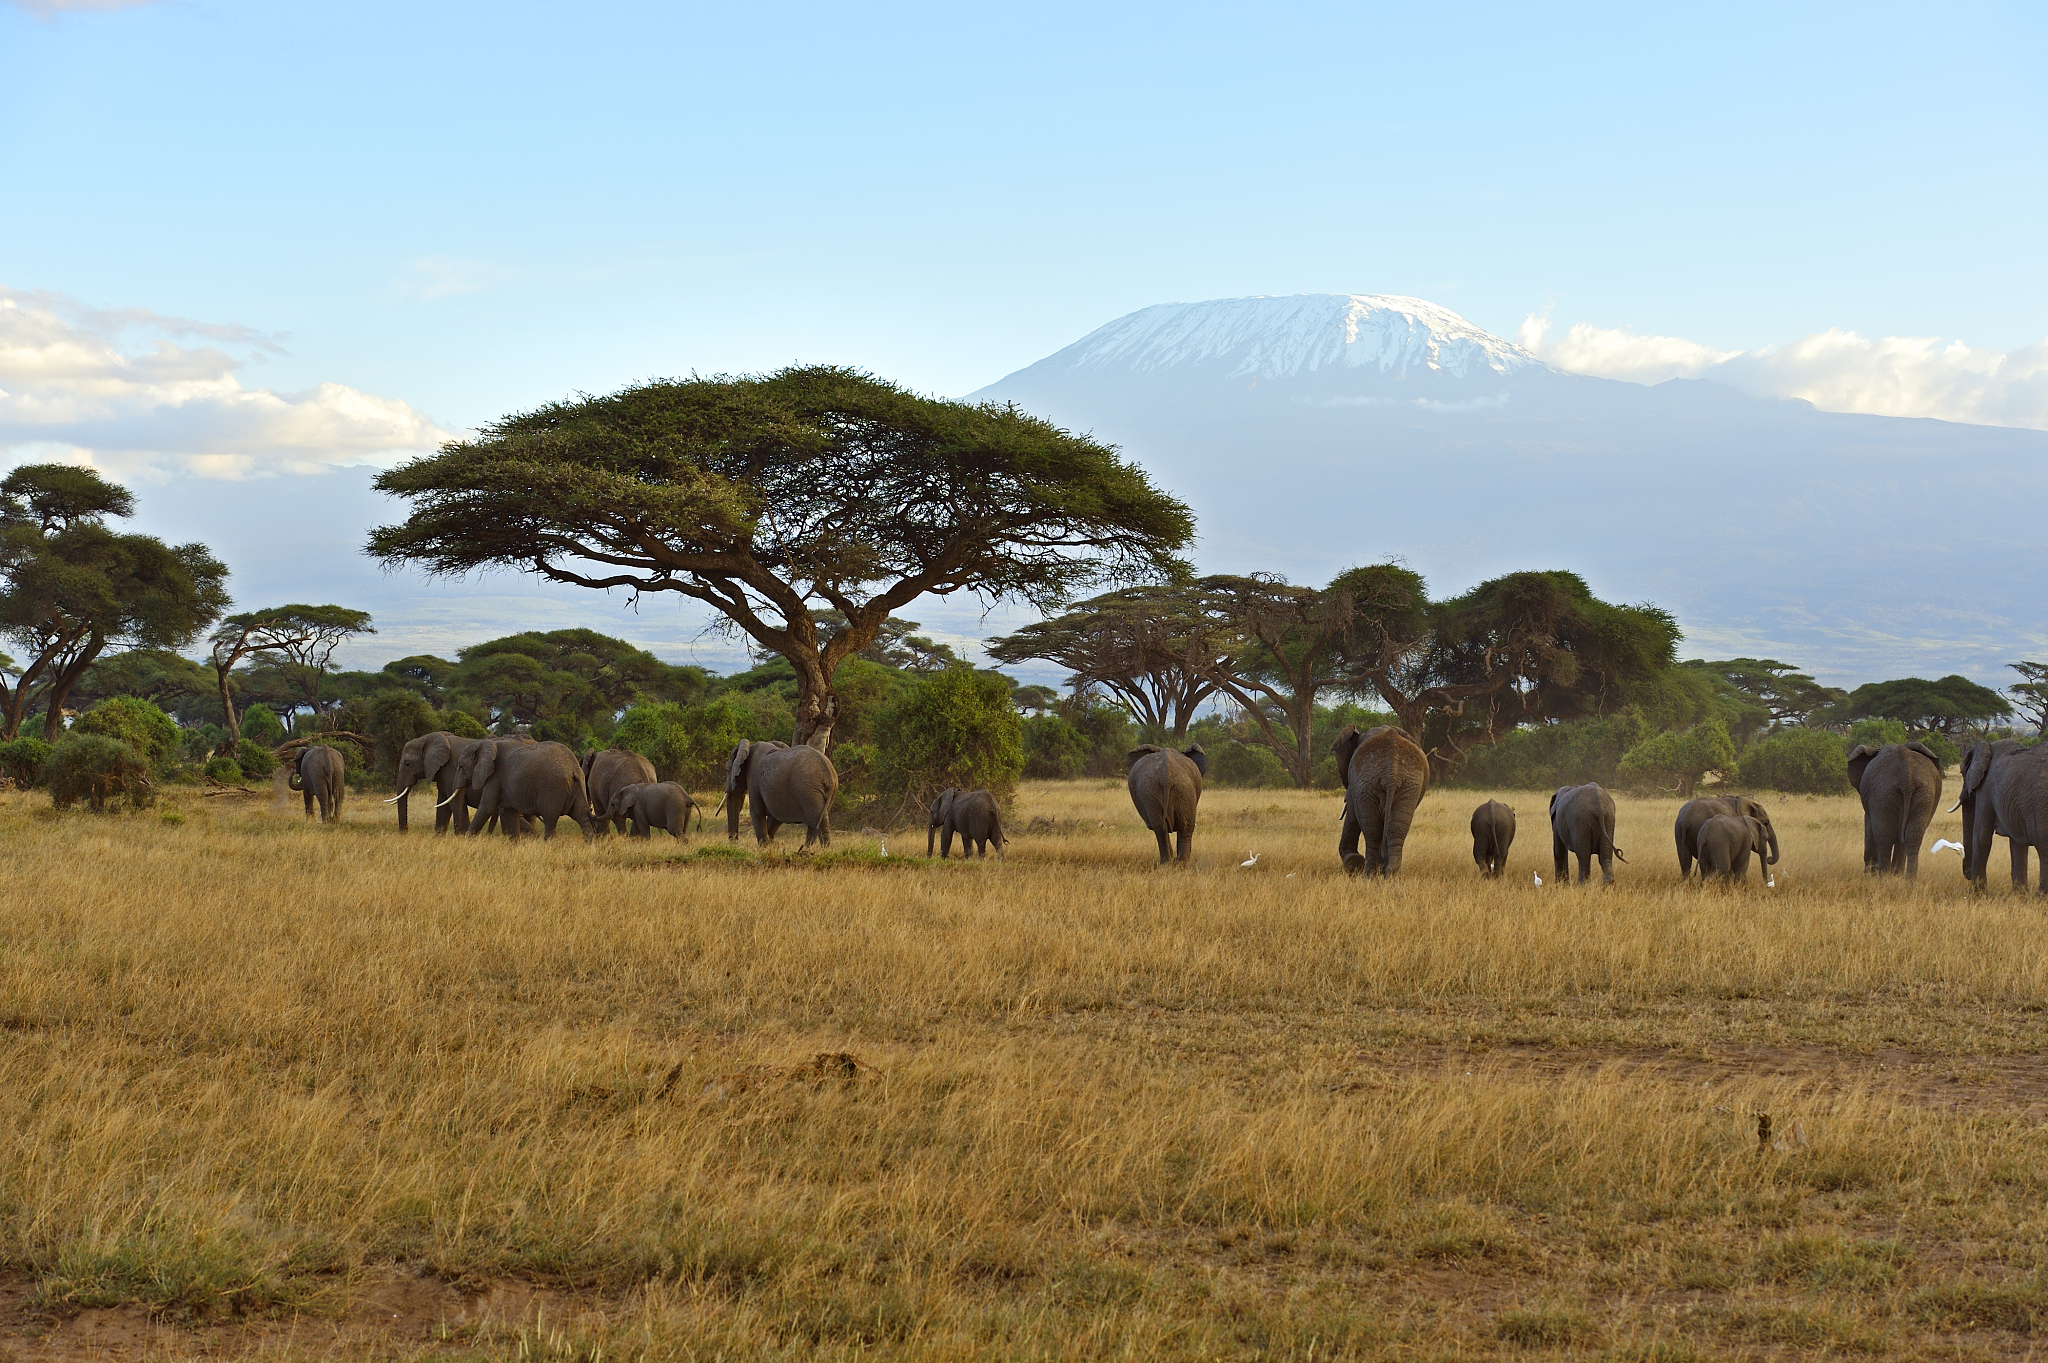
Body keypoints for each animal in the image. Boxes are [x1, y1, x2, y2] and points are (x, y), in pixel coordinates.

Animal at [448, 738, 594, 841]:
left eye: (460, 766)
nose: (458, 836)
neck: (484, 743)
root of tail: (574, 767)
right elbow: (510, 811)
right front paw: (514, 844)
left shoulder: (495, 777)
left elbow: (486, 808)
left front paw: (467, 841)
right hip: (576, 787)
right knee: (582, 816)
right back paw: (590, 845)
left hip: (553, 788)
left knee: (550, 819)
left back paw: (548, 845)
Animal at [1333, 725, 1428, 876]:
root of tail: (1391, 773)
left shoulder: (1355, 786)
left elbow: (1352, 815)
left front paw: (1353, 862)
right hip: (1410, 784)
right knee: (1396, 828)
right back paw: (1391, 875)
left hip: (1365, 782)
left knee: (1372, 831)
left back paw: (1369, 876)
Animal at [1846, 741, 1944, 875]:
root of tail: (1907, 777)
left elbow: (1869, 825)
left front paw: (1870, 873)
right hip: (1924, 794)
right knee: (1913, 835)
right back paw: (1907, 877)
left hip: (1882, 794)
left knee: (1885, 835)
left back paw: (1883, 875)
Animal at [1958, 739, 2048, 892]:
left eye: (1962, 772)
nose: (1967, 874)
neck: (1987, 747)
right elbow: (2018, 845)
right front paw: (2020, 896)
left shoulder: (1986, 789)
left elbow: (1981, 837)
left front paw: (1979, 895)